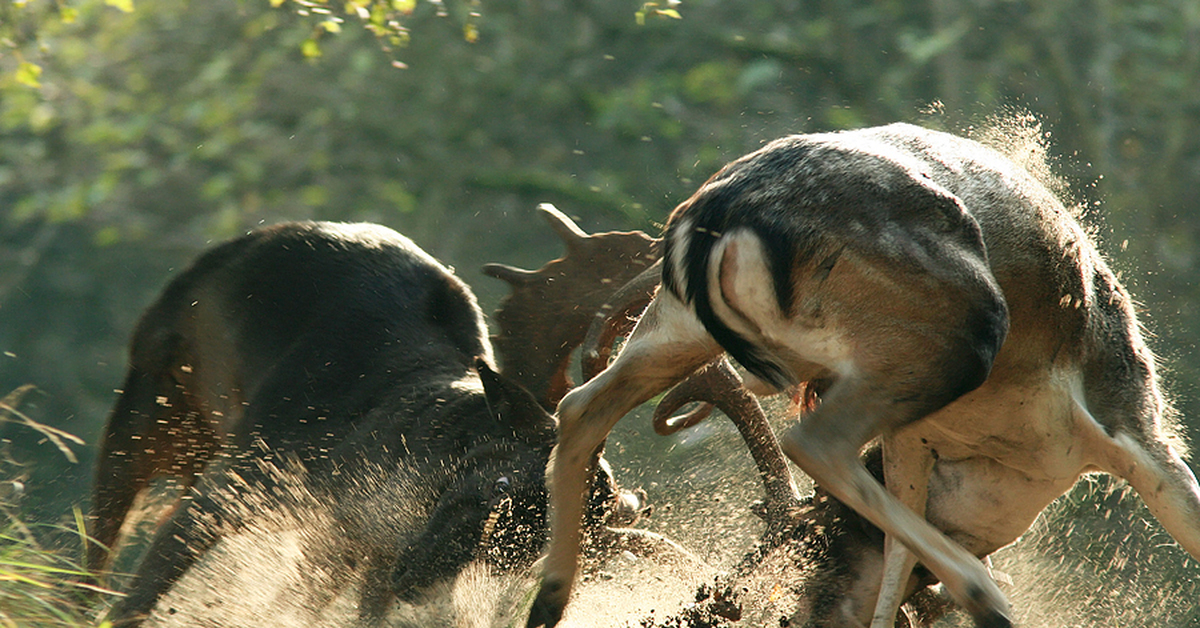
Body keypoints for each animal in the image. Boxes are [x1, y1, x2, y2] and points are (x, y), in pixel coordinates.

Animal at [525, 124, 1200, 628]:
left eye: (829, 550)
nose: (810, 612)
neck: (1023, 462)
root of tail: (721, 213)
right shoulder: (1129, 411)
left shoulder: (914, 440)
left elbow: (898, 561)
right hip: (947, 333)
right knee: (812, 439)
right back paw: (986, 597)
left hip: (679, 322)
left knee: (581, 405)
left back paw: (548, 602)